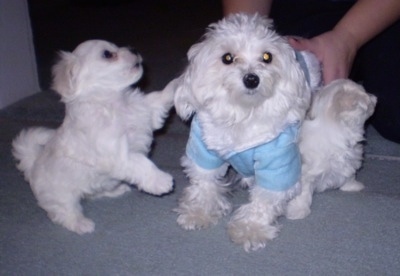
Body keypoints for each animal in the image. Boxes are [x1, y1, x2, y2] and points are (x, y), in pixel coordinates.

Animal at [12, 38, 174, 234]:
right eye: (108, 54)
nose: (133, 49)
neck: (113, 103)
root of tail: (32, 164)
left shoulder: (146, 112)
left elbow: (161, 96)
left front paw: (183, 81)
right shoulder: (117, 155)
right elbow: (141, 162)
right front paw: (161, 181)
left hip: (99, 182)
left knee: (96, 191)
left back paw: (116, 190)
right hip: (61, 196)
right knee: (63, 212)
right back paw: (81, 224)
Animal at [173, 12, 320, 251]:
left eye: (267, 57)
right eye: (227, 58)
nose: (251, 79)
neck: (244, 112)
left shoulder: (277, 161)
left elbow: (265, 199)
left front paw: (251, 229)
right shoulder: (205, 149)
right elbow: (205, 182)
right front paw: (199, 212)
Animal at [286, 79, 376, 220]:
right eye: (365, 93)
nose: (374, 97)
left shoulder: (348, 161)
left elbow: (349, 174)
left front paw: (352, 186)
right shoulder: (306, 173)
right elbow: (303, 193)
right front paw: (298, 210)